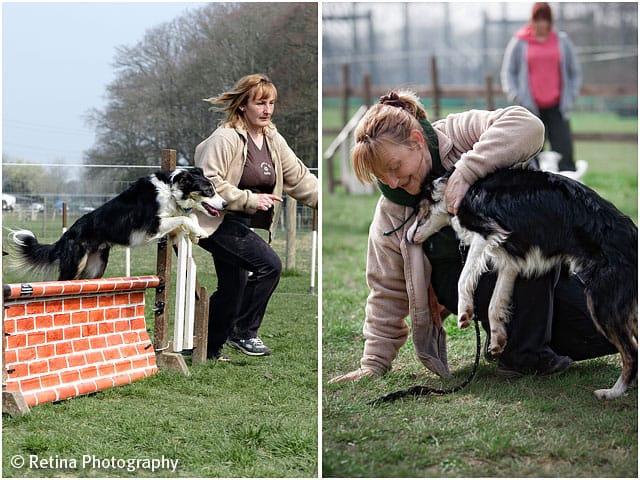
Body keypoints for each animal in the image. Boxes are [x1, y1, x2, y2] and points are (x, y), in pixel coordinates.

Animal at [9, 168, 228, 282]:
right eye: (209, 191)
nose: (226, 204)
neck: (172, 191)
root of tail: (65, 237)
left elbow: (188, 218)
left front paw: (196, 234)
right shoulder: (153, 225)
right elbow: (184, 218)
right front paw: (199, 231)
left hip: (95, 268)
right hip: (75, 264)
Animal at [408, 167, 636, 400]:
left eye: (416, 209)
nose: (408, 237)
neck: (454, 190)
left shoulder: (487, 231)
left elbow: (464, 277)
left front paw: (465, 312)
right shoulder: (510, 259)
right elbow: (495, 303)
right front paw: (498, 339)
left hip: (601, 304)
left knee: (631, 355)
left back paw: (613, 392)